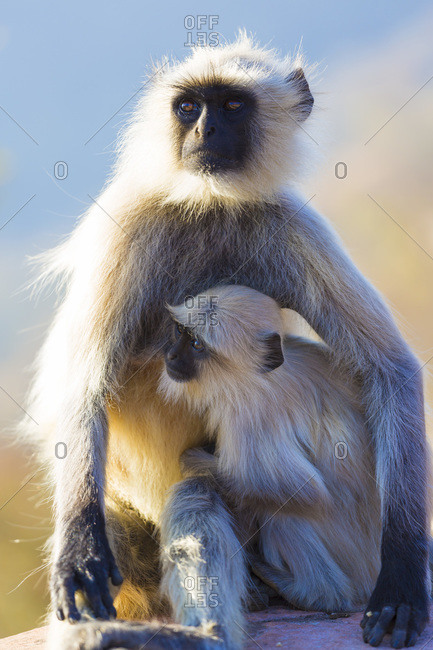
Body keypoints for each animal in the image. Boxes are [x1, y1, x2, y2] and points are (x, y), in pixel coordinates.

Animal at [24, 33, 429, 649]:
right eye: (189, 106)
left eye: (232, 106)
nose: (205, 131)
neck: (209, 200)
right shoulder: (129, 228)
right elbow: (82, 388)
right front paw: (80, 550)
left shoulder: (291, 225)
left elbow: (389, 371)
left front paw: (403, 573)